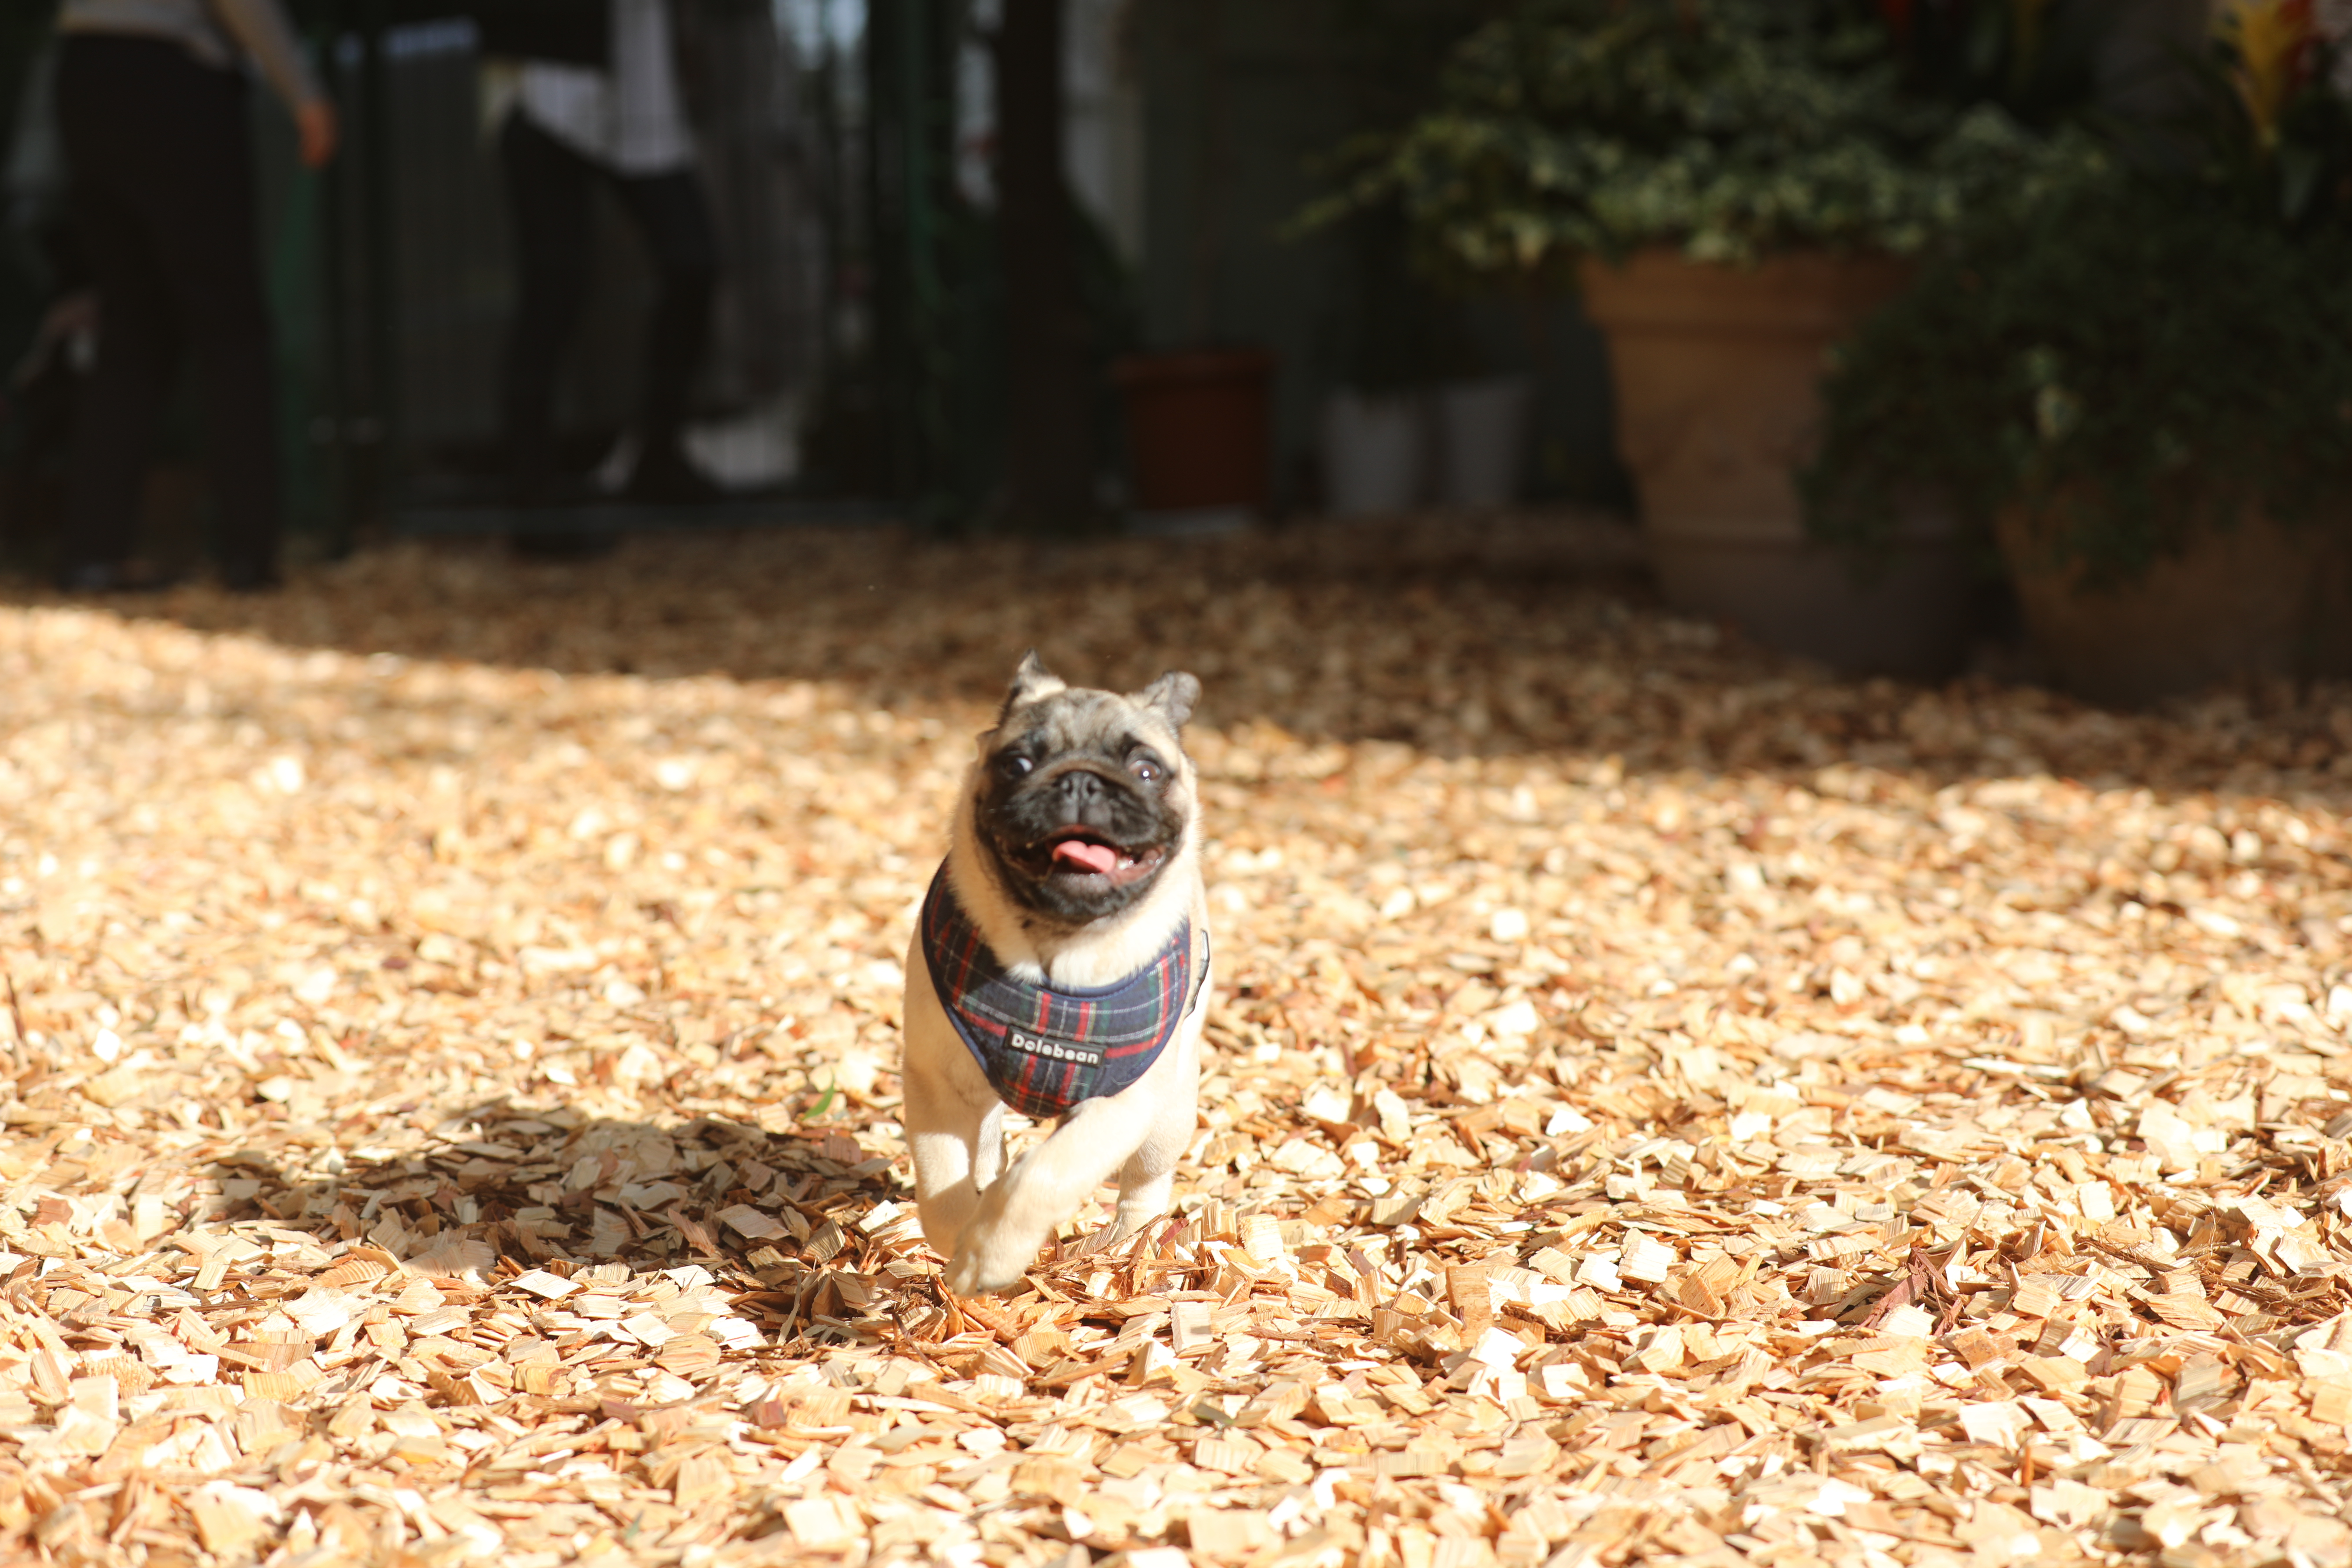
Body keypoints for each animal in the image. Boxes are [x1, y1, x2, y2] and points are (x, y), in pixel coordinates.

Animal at [898, 653, 1213, 1297]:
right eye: (1017, 764)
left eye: (1147, 771)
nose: (1080, 781)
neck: (1054, 948)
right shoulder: (937, 1084)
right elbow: (942, 1187)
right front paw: (962, 1237)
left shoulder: (1120, 1107)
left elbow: (1043, 1175)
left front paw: (987, 1256)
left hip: (1168, 1117)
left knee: (1145, 1184)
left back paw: (1128, 1244)